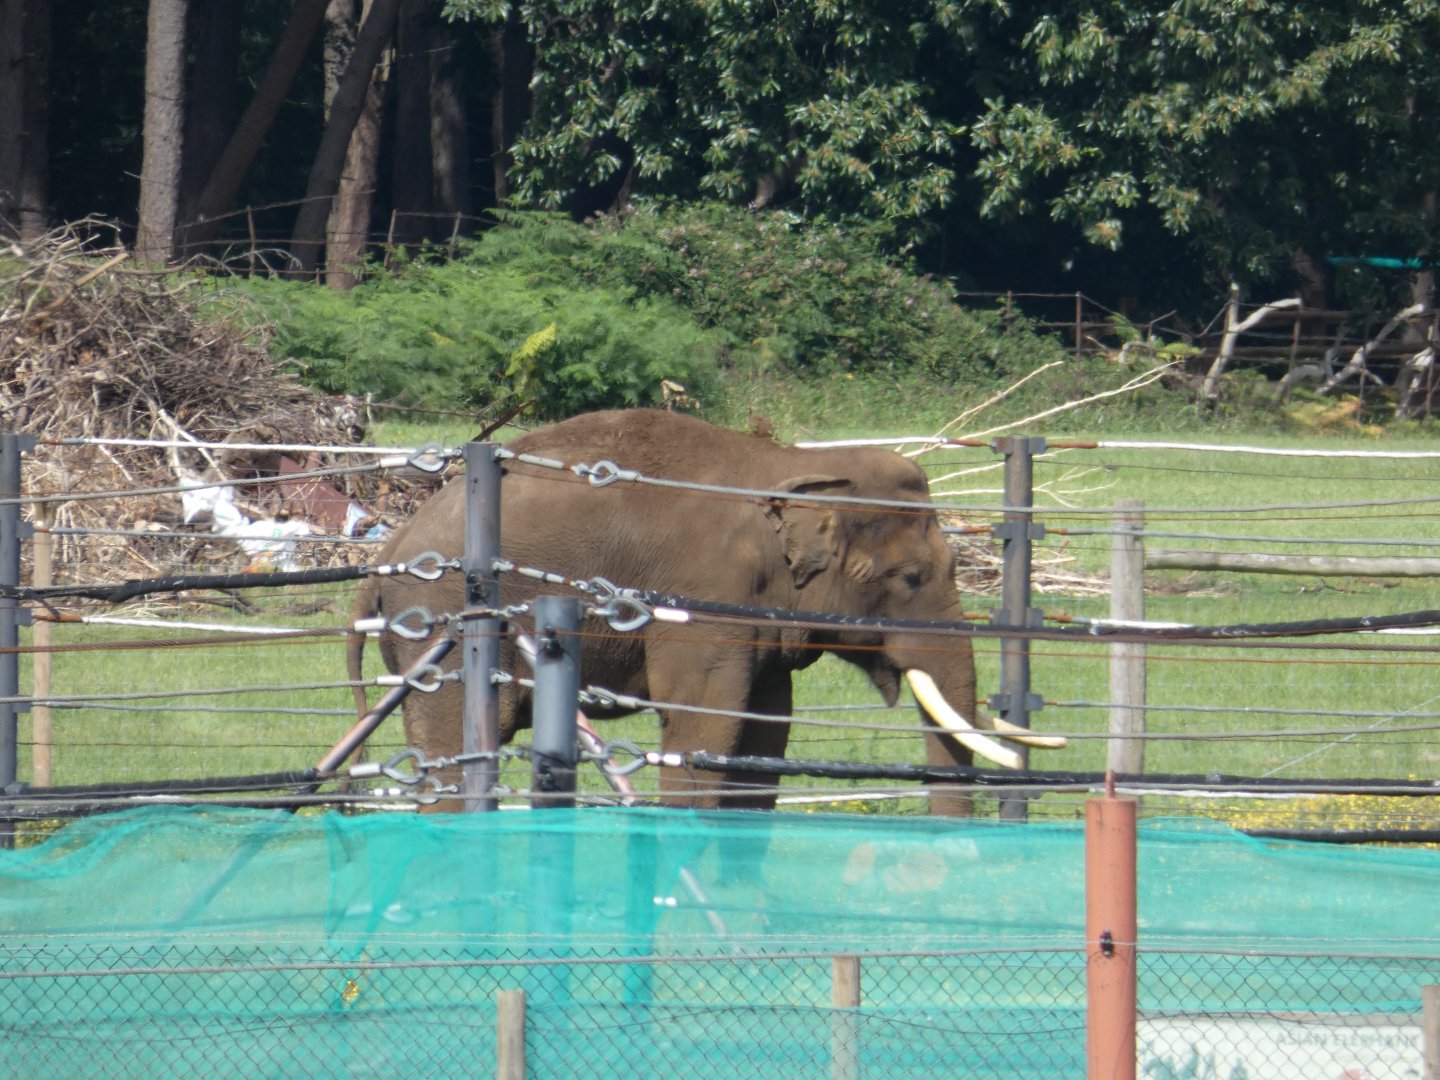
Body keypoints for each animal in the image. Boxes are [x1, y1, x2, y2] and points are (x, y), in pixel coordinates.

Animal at [347, 409, 1063, 813]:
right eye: (910, 578)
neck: (793, 465)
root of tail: (389, 551)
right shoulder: (703, 598)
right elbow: (705, 722)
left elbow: (765, 732)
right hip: (443, 619)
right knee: (457, 744)